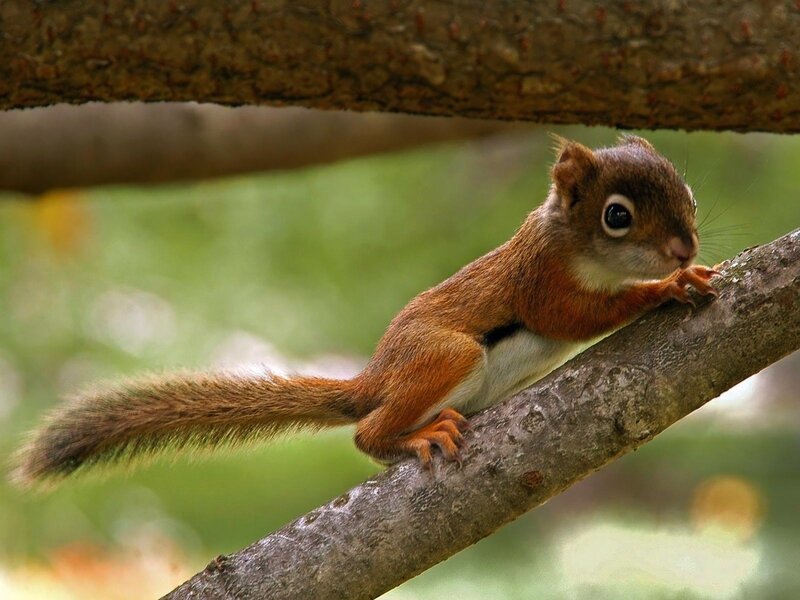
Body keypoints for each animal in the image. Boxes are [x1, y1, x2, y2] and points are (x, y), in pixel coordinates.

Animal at [12, 135, 718, 487]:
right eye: (617, 216)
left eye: (686, 188)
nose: (685, 245)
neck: (572, 243)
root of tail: (374, 379)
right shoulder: (540, 283)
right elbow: (573, 318)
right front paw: (662, 287)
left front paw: (686, 273)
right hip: (446, 354)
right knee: (365, 434)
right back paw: (410, 434)